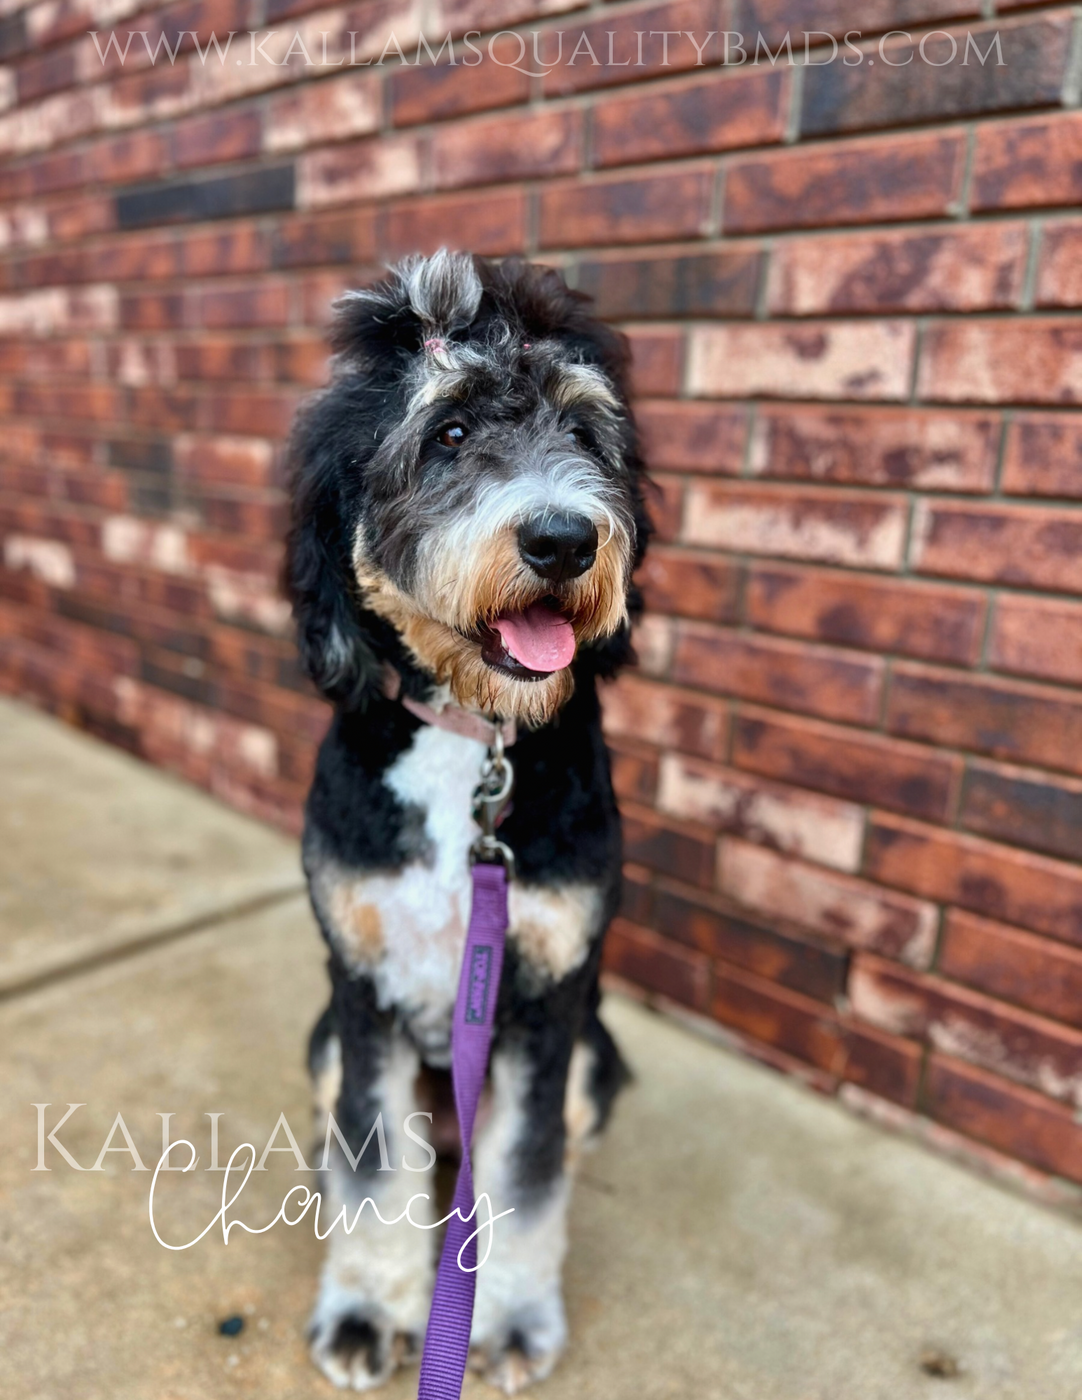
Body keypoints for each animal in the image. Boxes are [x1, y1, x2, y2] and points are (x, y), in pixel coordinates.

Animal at [285, 251, 651, 1393]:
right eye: (447, 433)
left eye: (583, 433)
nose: (563, 538)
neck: (474, 735)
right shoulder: (361, 994)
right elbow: (371, 1165)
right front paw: (367, 1305)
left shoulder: (544, 1010)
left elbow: (526, 1179)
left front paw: (511, 1319)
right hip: (323, 1039)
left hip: (594, 1057)